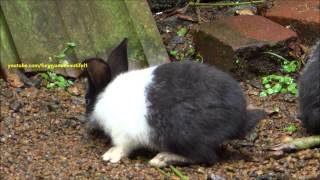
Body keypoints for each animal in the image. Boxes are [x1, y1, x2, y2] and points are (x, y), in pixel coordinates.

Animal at [82, 38, 264, 167]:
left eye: (86, 100)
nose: (86, 118)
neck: (106, 97)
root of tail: (238, 120)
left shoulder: (123, 135)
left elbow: (122, 148)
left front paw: (110, 156)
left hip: (182, 134)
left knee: (206, 157)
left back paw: (163, 158)